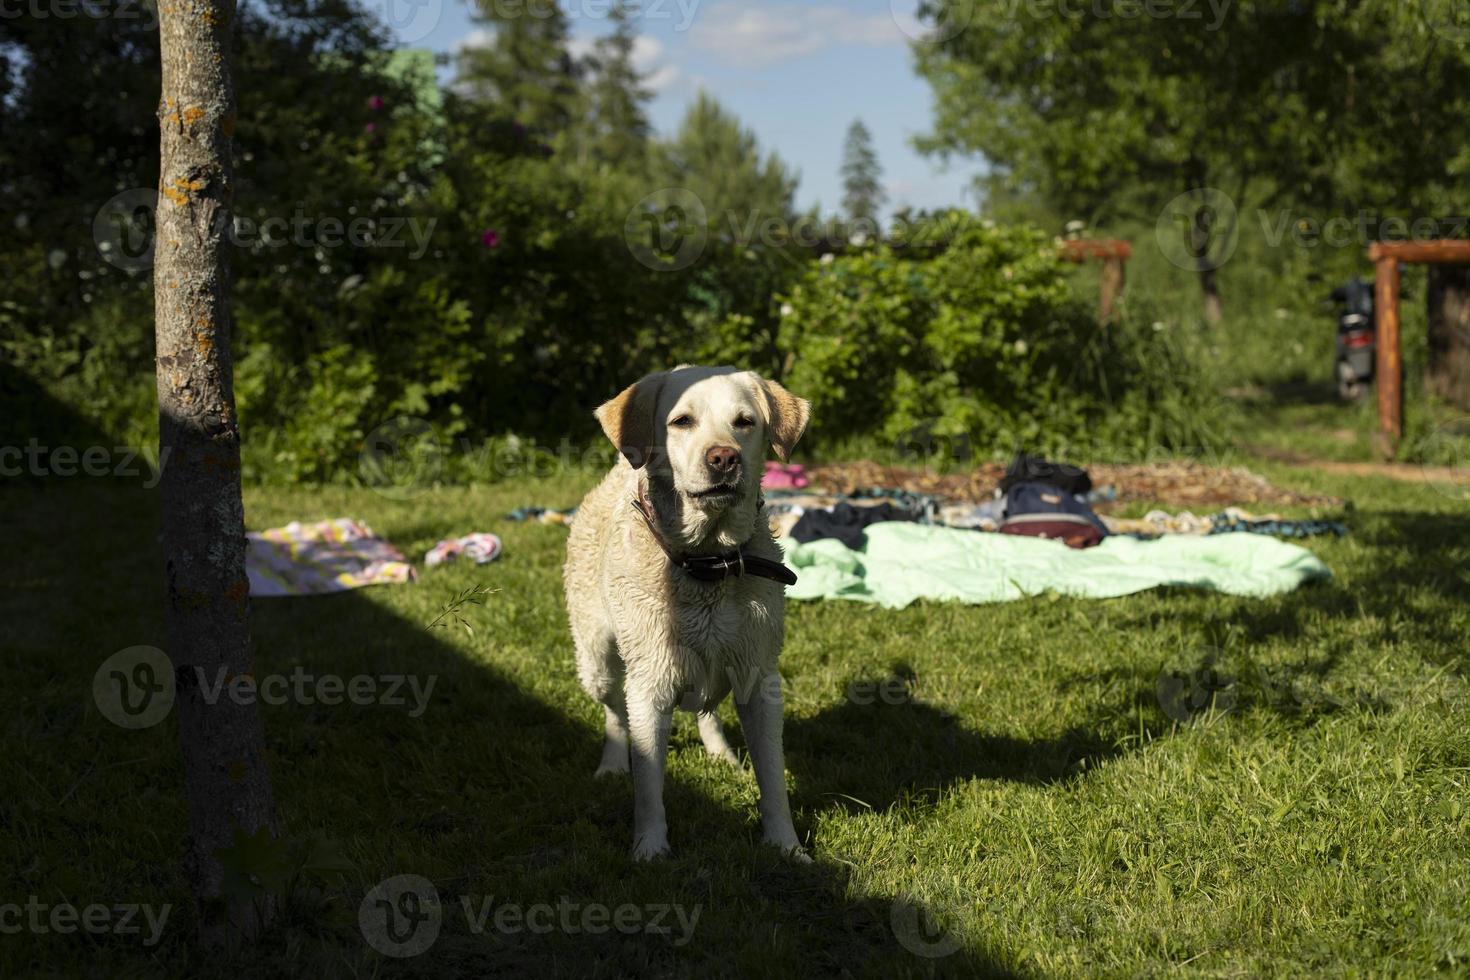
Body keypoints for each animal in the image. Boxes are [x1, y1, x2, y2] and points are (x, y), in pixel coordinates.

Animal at [564, 365, 817, 858]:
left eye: (744, 422)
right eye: (682, 421)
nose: (724, 458)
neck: (708, 562)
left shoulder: (761, 680)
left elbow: (773, 779)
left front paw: (786, 846)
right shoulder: (649, 685)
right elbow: (648, 782)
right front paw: (650, 849)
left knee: (706, 707)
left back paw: (722, 754)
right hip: (597, 659)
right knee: (613, 713)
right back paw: (611, 766)